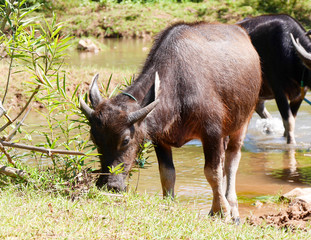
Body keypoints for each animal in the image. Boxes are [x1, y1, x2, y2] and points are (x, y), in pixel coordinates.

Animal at [79, 21, 262, 220]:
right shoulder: (160, 139)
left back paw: (233, 207)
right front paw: (169, 203)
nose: (109, 185)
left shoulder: (211, 133)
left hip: (243, 120)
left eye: (126, 140)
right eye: (94, 139)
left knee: (231, 161)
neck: (178, 90)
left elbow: (212, 172)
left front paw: (221, 211)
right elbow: (167, 173)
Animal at [240, 15, 311, 144]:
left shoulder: (299, 96)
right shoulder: (279, 92)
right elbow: (289, 121)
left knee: (262, 110)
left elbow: (291, 120)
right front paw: (291, 143)